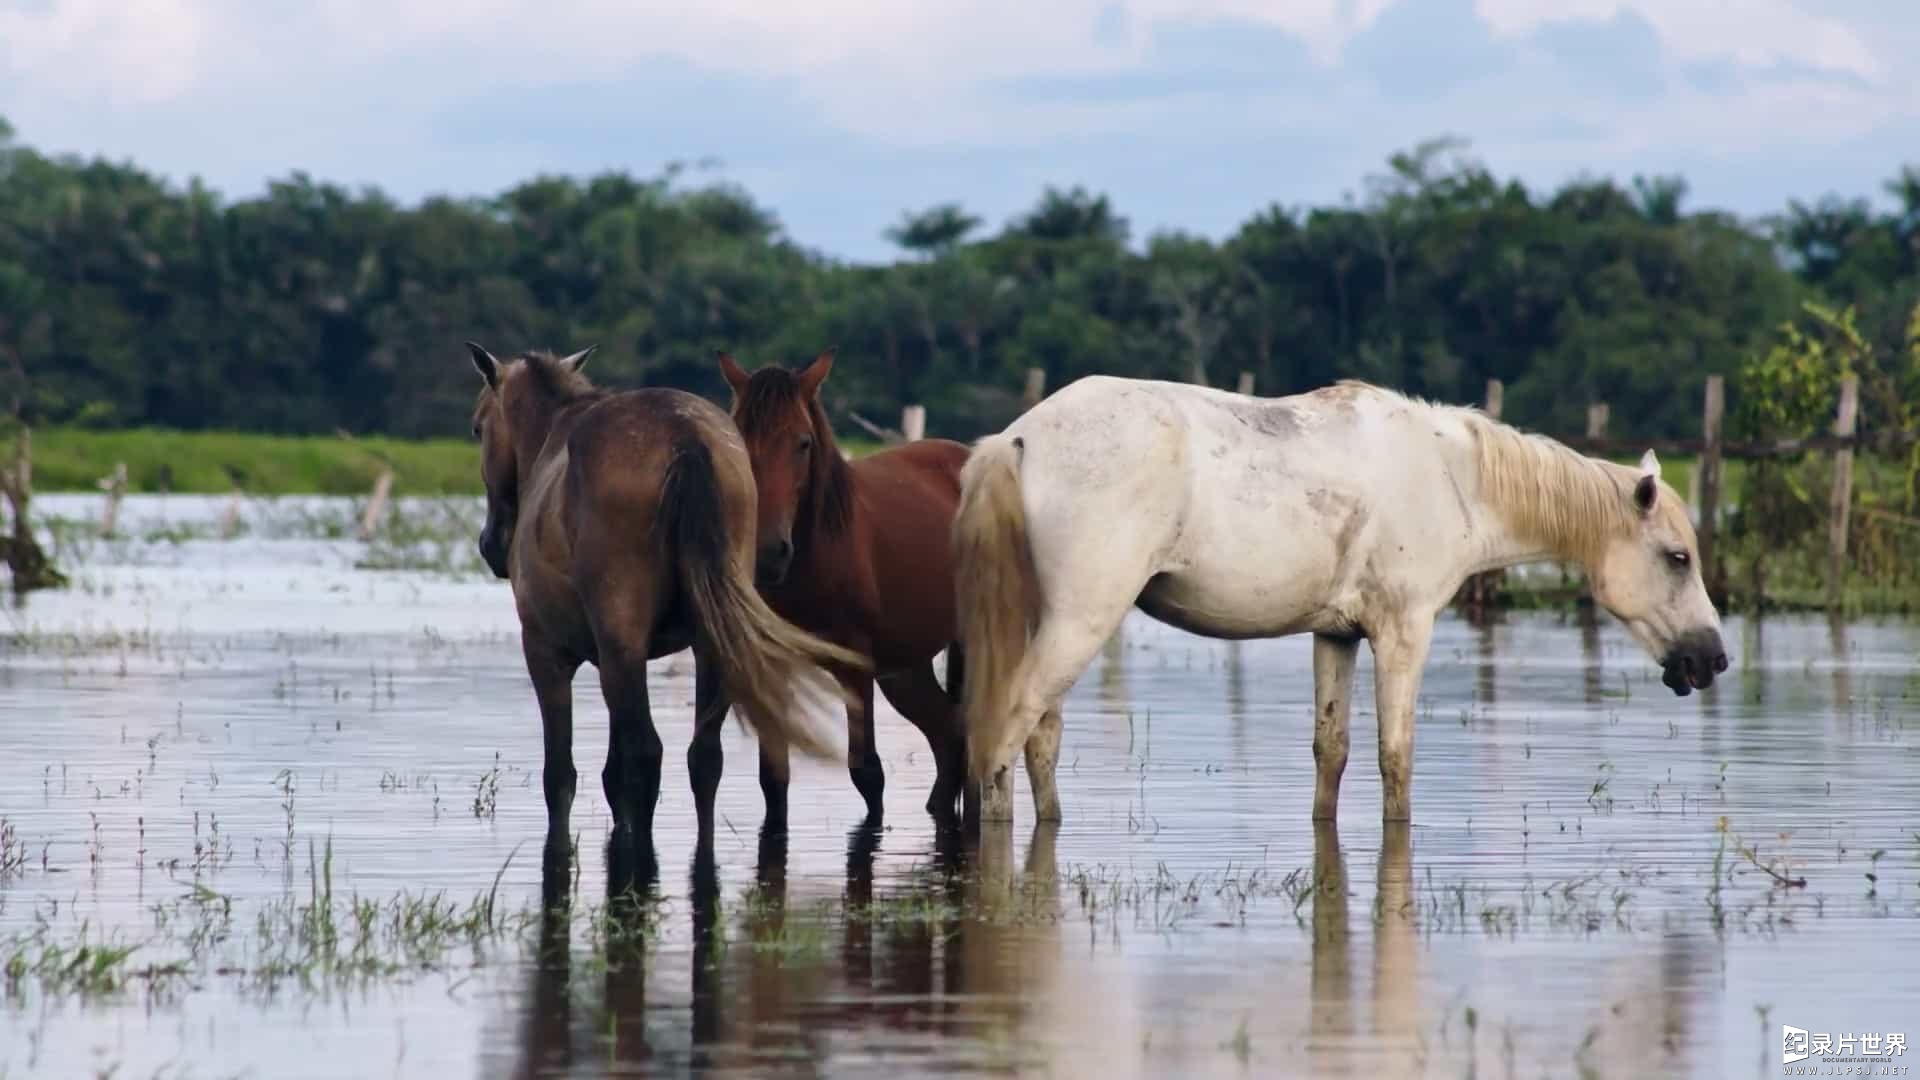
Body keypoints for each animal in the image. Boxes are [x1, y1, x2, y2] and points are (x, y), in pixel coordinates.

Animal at [462, 340, 864, 845]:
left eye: (478, 427)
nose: (491, 544)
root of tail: (684, 438)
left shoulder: (547, 653)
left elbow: (562, 776)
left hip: (623, 647)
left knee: (645, 755)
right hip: (710, 644)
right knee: (702, 758)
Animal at [714, 349, 967, 818]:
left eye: (803, 443)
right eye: (739, 441)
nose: (768, 553)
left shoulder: (855, 665)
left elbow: (867, 772)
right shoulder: (771, 661)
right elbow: (773, 778)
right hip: (905, 667)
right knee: (950, 737)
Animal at [952, 376, 1735, 822]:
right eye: (1678, 558)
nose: (1715, 659)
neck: (1451, 475)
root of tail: (1016, 440)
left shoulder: (1337, 636)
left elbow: (1331, 753)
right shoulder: (1403, 634)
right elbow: (1397, 759)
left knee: (1038, 742)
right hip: (1080, 625)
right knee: (1002, 738)